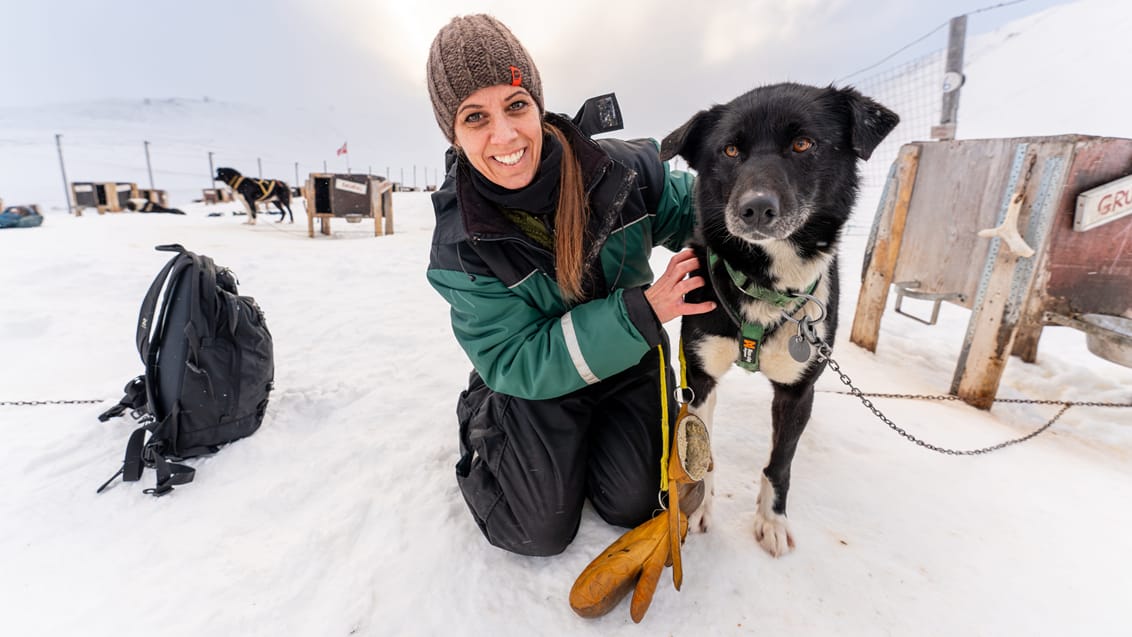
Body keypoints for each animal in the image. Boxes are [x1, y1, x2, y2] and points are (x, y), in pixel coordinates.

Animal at [661, 82, 896, 556]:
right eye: (730, 149)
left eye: (803, 144)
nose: (755, 208)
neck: (764, 284)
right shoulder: (700, 376)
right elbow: (702, 450)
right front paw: (698, 507)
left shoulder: (796, 391)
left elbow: (779, 463)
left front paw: (771, 520)